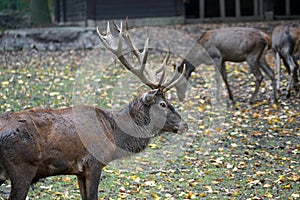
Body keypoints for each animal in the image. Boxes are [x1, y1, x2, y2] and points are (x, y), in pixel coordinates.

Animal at [0, 20, 188, 200]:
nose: (185, 125)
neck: (114, 136)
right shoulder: (94, 163)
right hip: (22, 167)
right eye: (163, 104)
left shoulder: (79, 171)